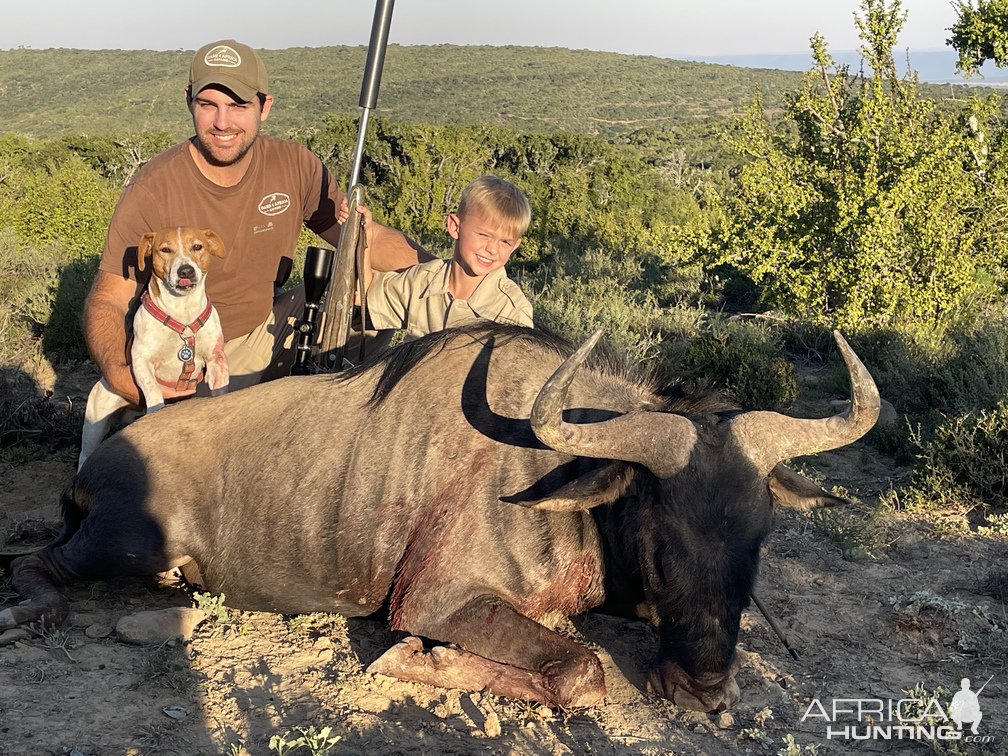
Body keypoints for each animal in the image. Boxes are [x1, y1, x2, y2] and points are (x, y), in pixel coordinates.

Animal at [79, 227, 230, 471]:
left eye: (197, 246)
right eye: (165, 249)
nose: (186, 270)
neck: (183, 312)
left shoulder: (217, 360)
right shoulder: (142, 360)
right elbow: (153, 391)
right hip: (95, 418)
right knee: (86, 453)